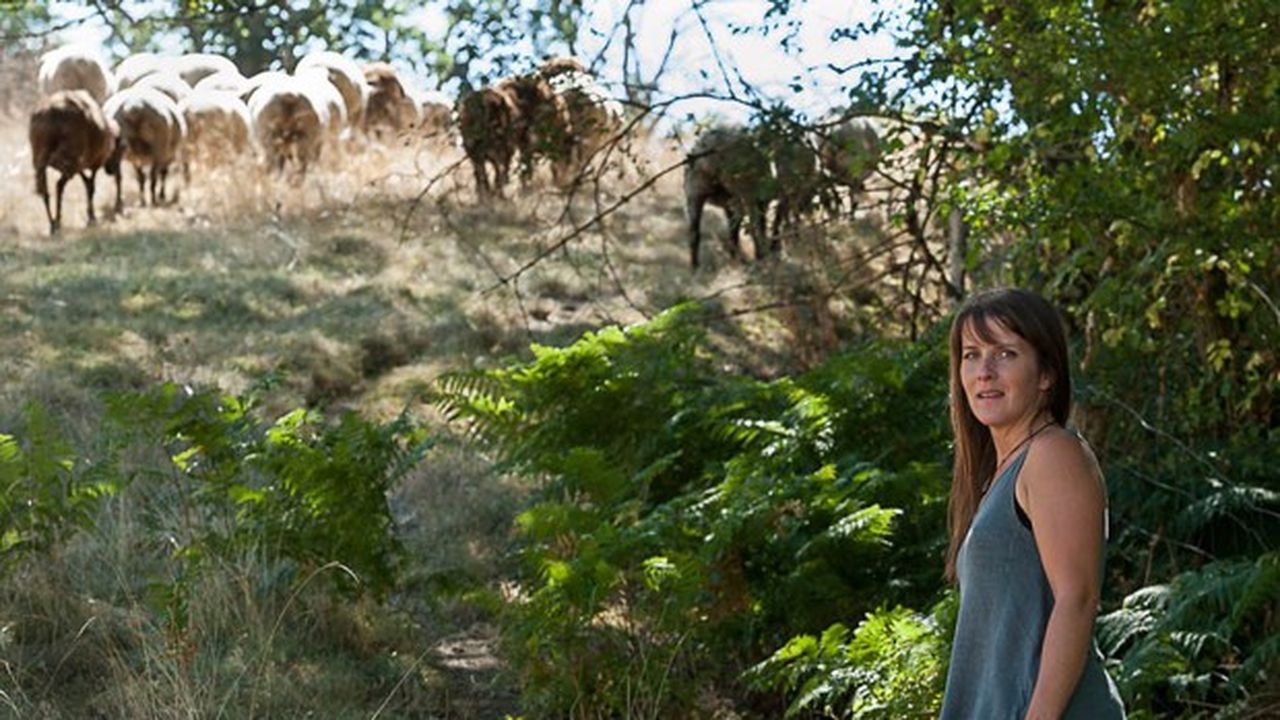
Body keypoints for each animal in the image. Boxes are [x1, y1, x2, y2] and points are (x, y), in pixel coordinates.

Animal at [29, 88, 122, 235]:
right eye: (121, 149)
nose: (112, 171)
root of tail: (51, 111)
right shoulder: (93, 163)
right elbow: (91, 187)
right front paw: (91, 218)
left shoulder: (81, 164)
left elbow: (86, 182)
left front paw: (91, 217)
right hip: (68, 158)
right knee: (59, 184)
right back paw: (57, 222)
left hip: (40, 157)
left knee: (45, 191)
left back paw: (53, 224)